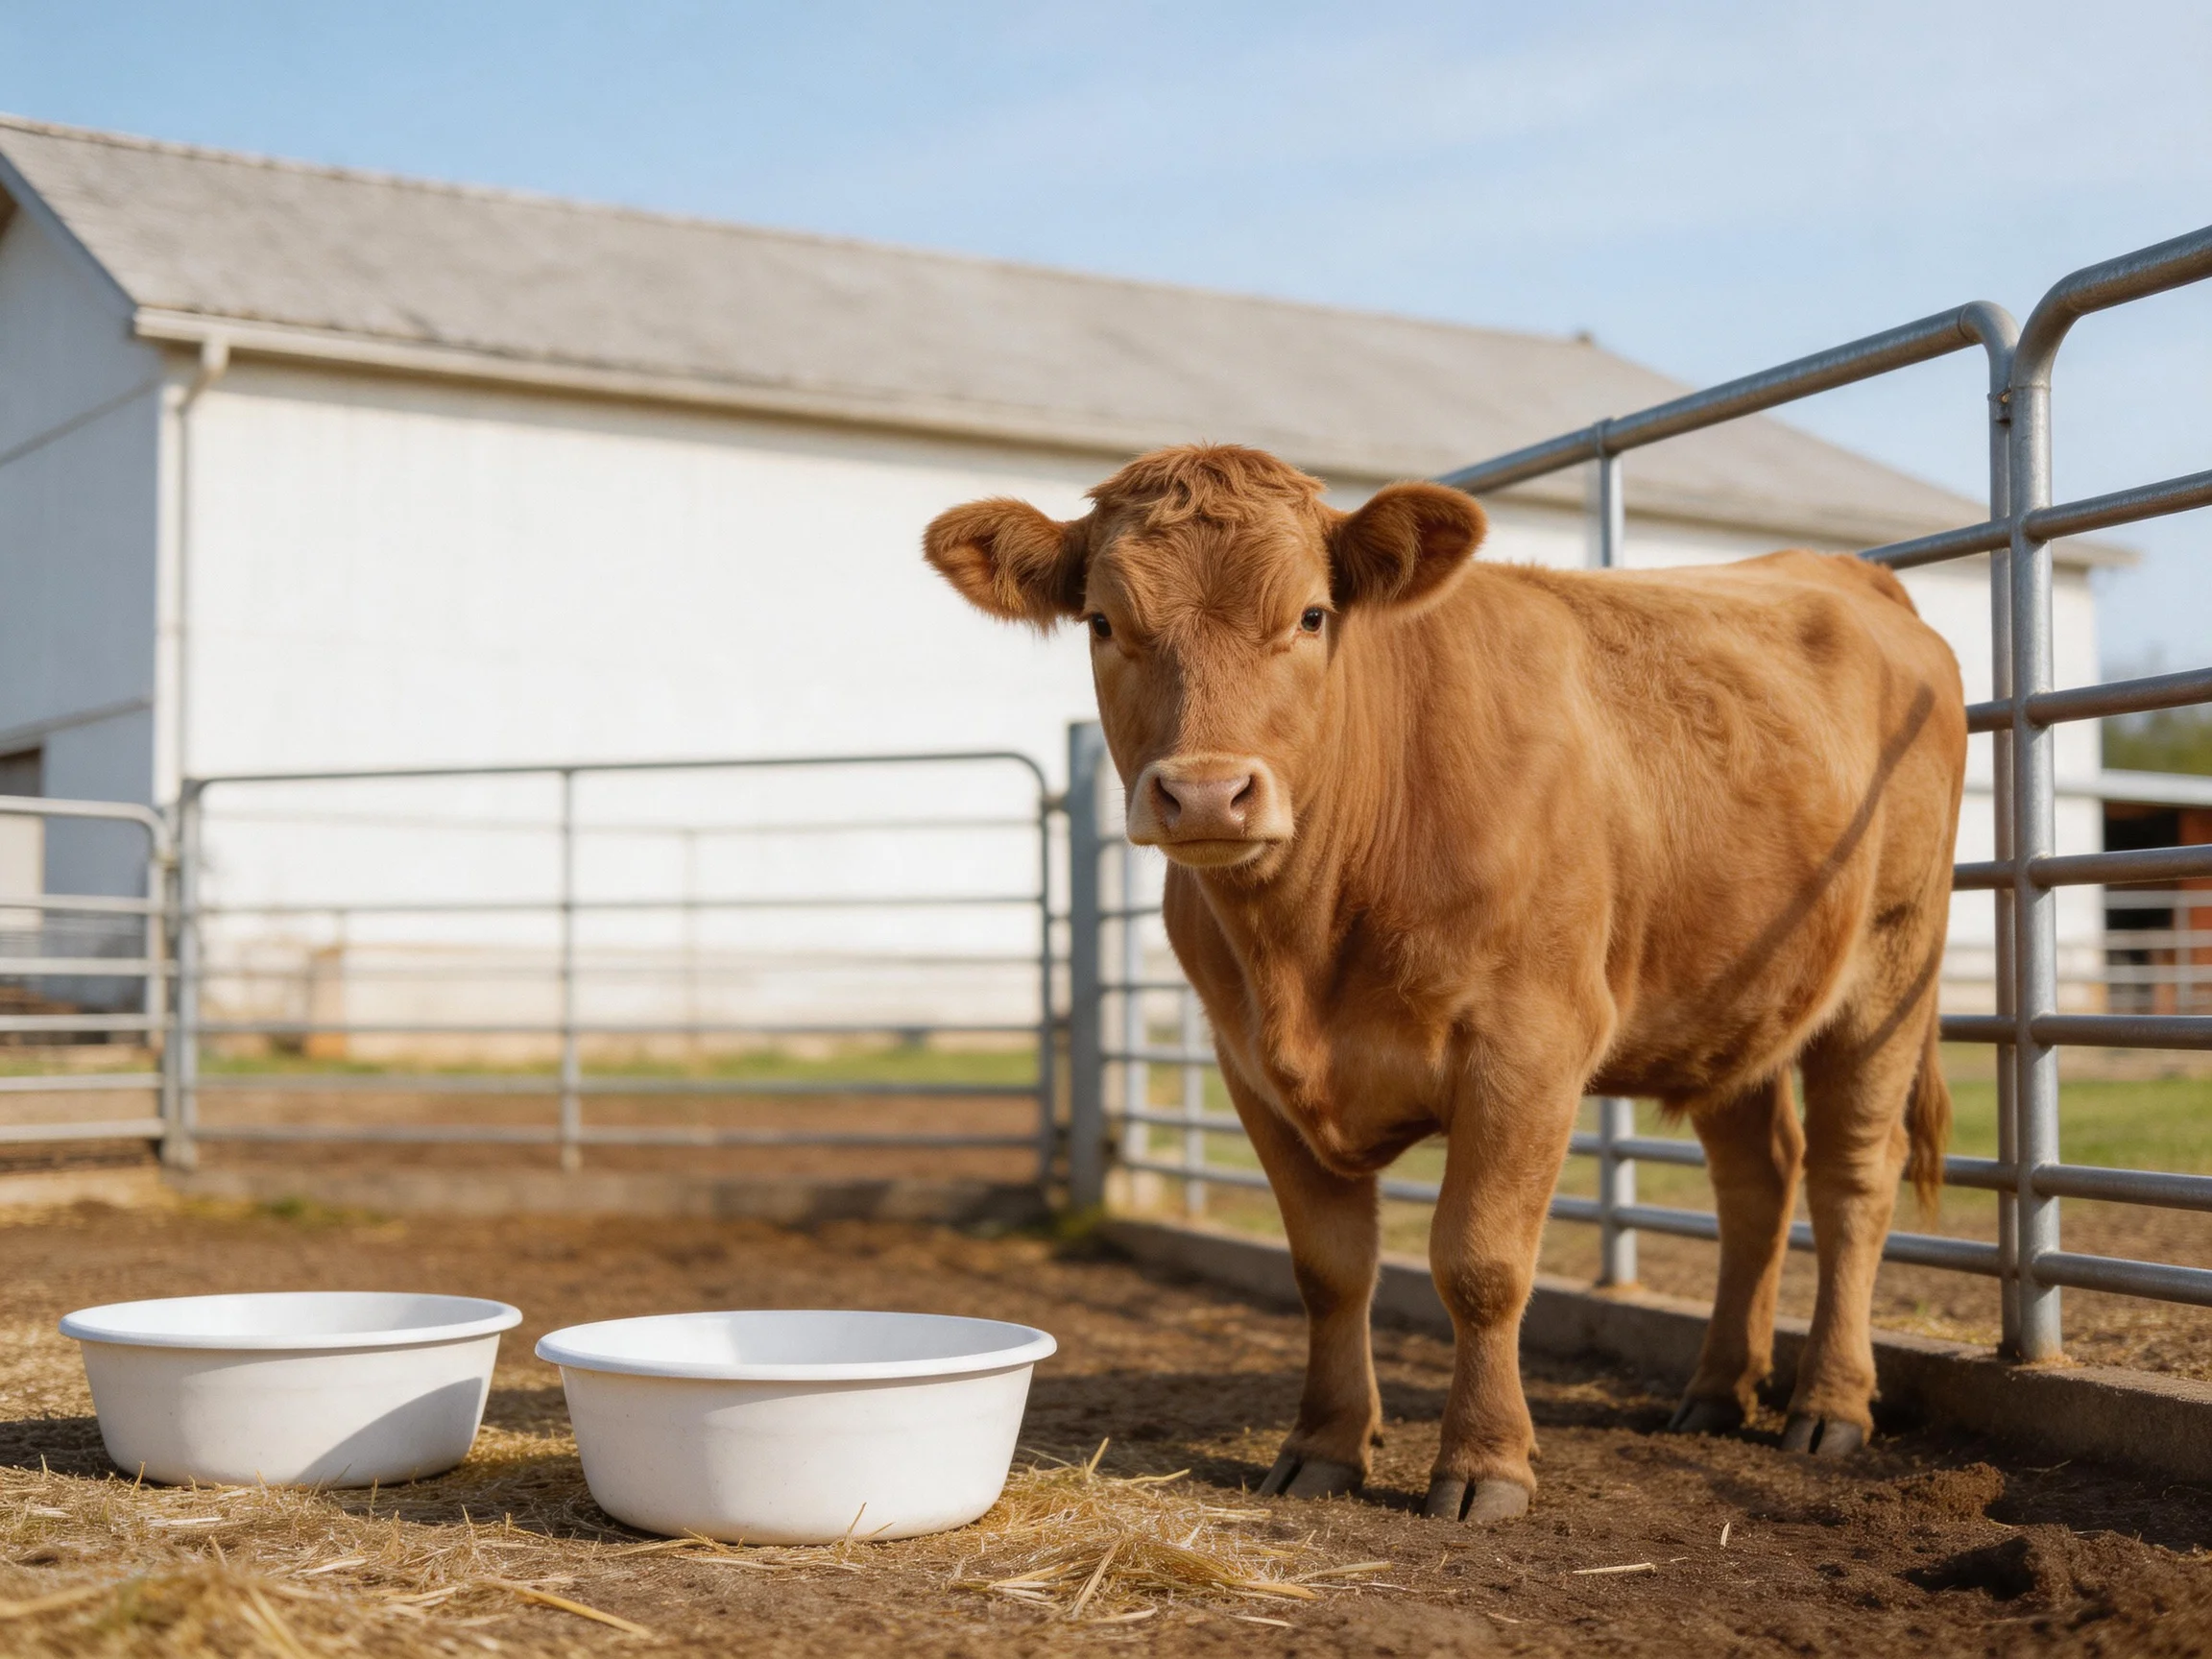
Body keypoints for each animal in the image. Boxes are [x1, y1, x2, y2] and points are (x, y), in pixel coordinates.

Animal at [924, 444, 1965, 1524]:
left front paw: (1484, 1463)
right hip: (1732, 997)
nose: (1207, 793)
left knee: (1853, 1174)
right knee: (1757, 1178)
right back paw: (1717, 1391)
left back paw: (1830, 1405)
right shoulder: (1250, 1066)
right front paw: (1325, 1445)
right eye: (1102, 622)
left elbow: (1480, 1263)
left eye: (1311, 615)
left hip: (1892, 968)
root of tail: (1847, 574)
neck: (1308, 939)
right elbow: (1330, 1270)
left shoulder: (1531, 1044)